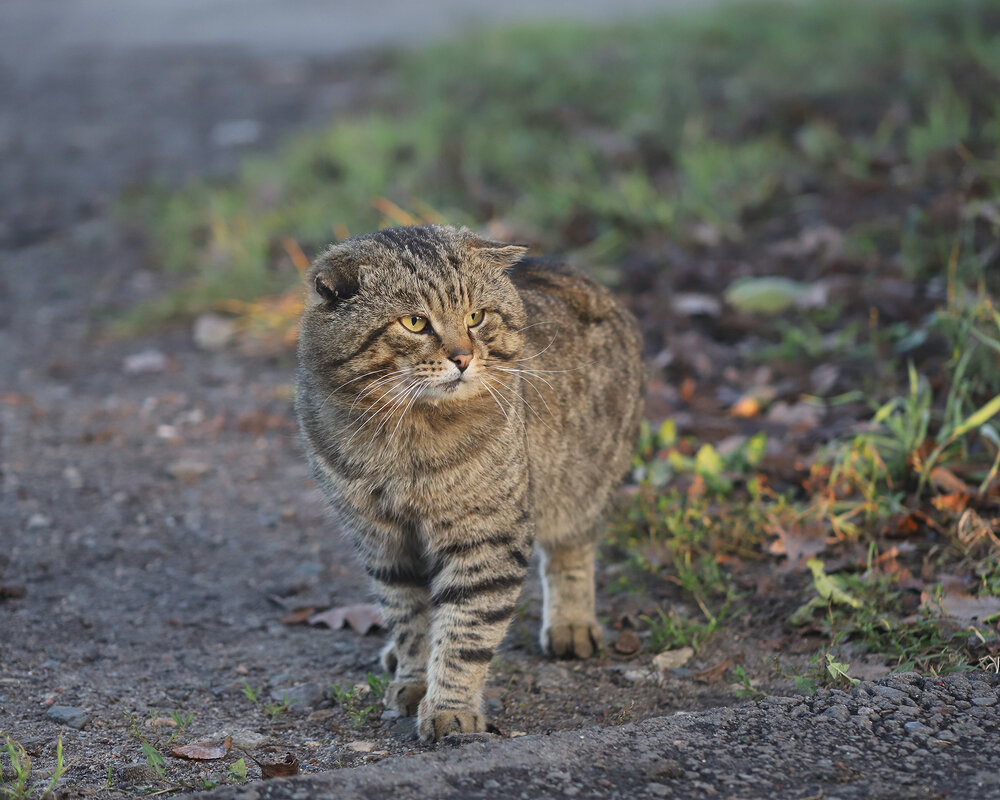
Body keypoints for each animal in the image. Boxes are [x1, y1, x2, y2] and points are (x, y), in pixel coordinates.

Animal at [292, 222, 644, 740]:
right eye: (414, 323)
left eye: (475, 317)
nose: (462, 357)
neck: (407, 439)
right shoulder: (382, 541)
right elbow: (411, 619)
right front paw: (414, 680)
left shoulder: (486, 537)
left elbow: (466, 629)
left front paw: (449, 707)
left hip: (582, 487)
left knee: (572, 551)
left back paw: (571, 625)